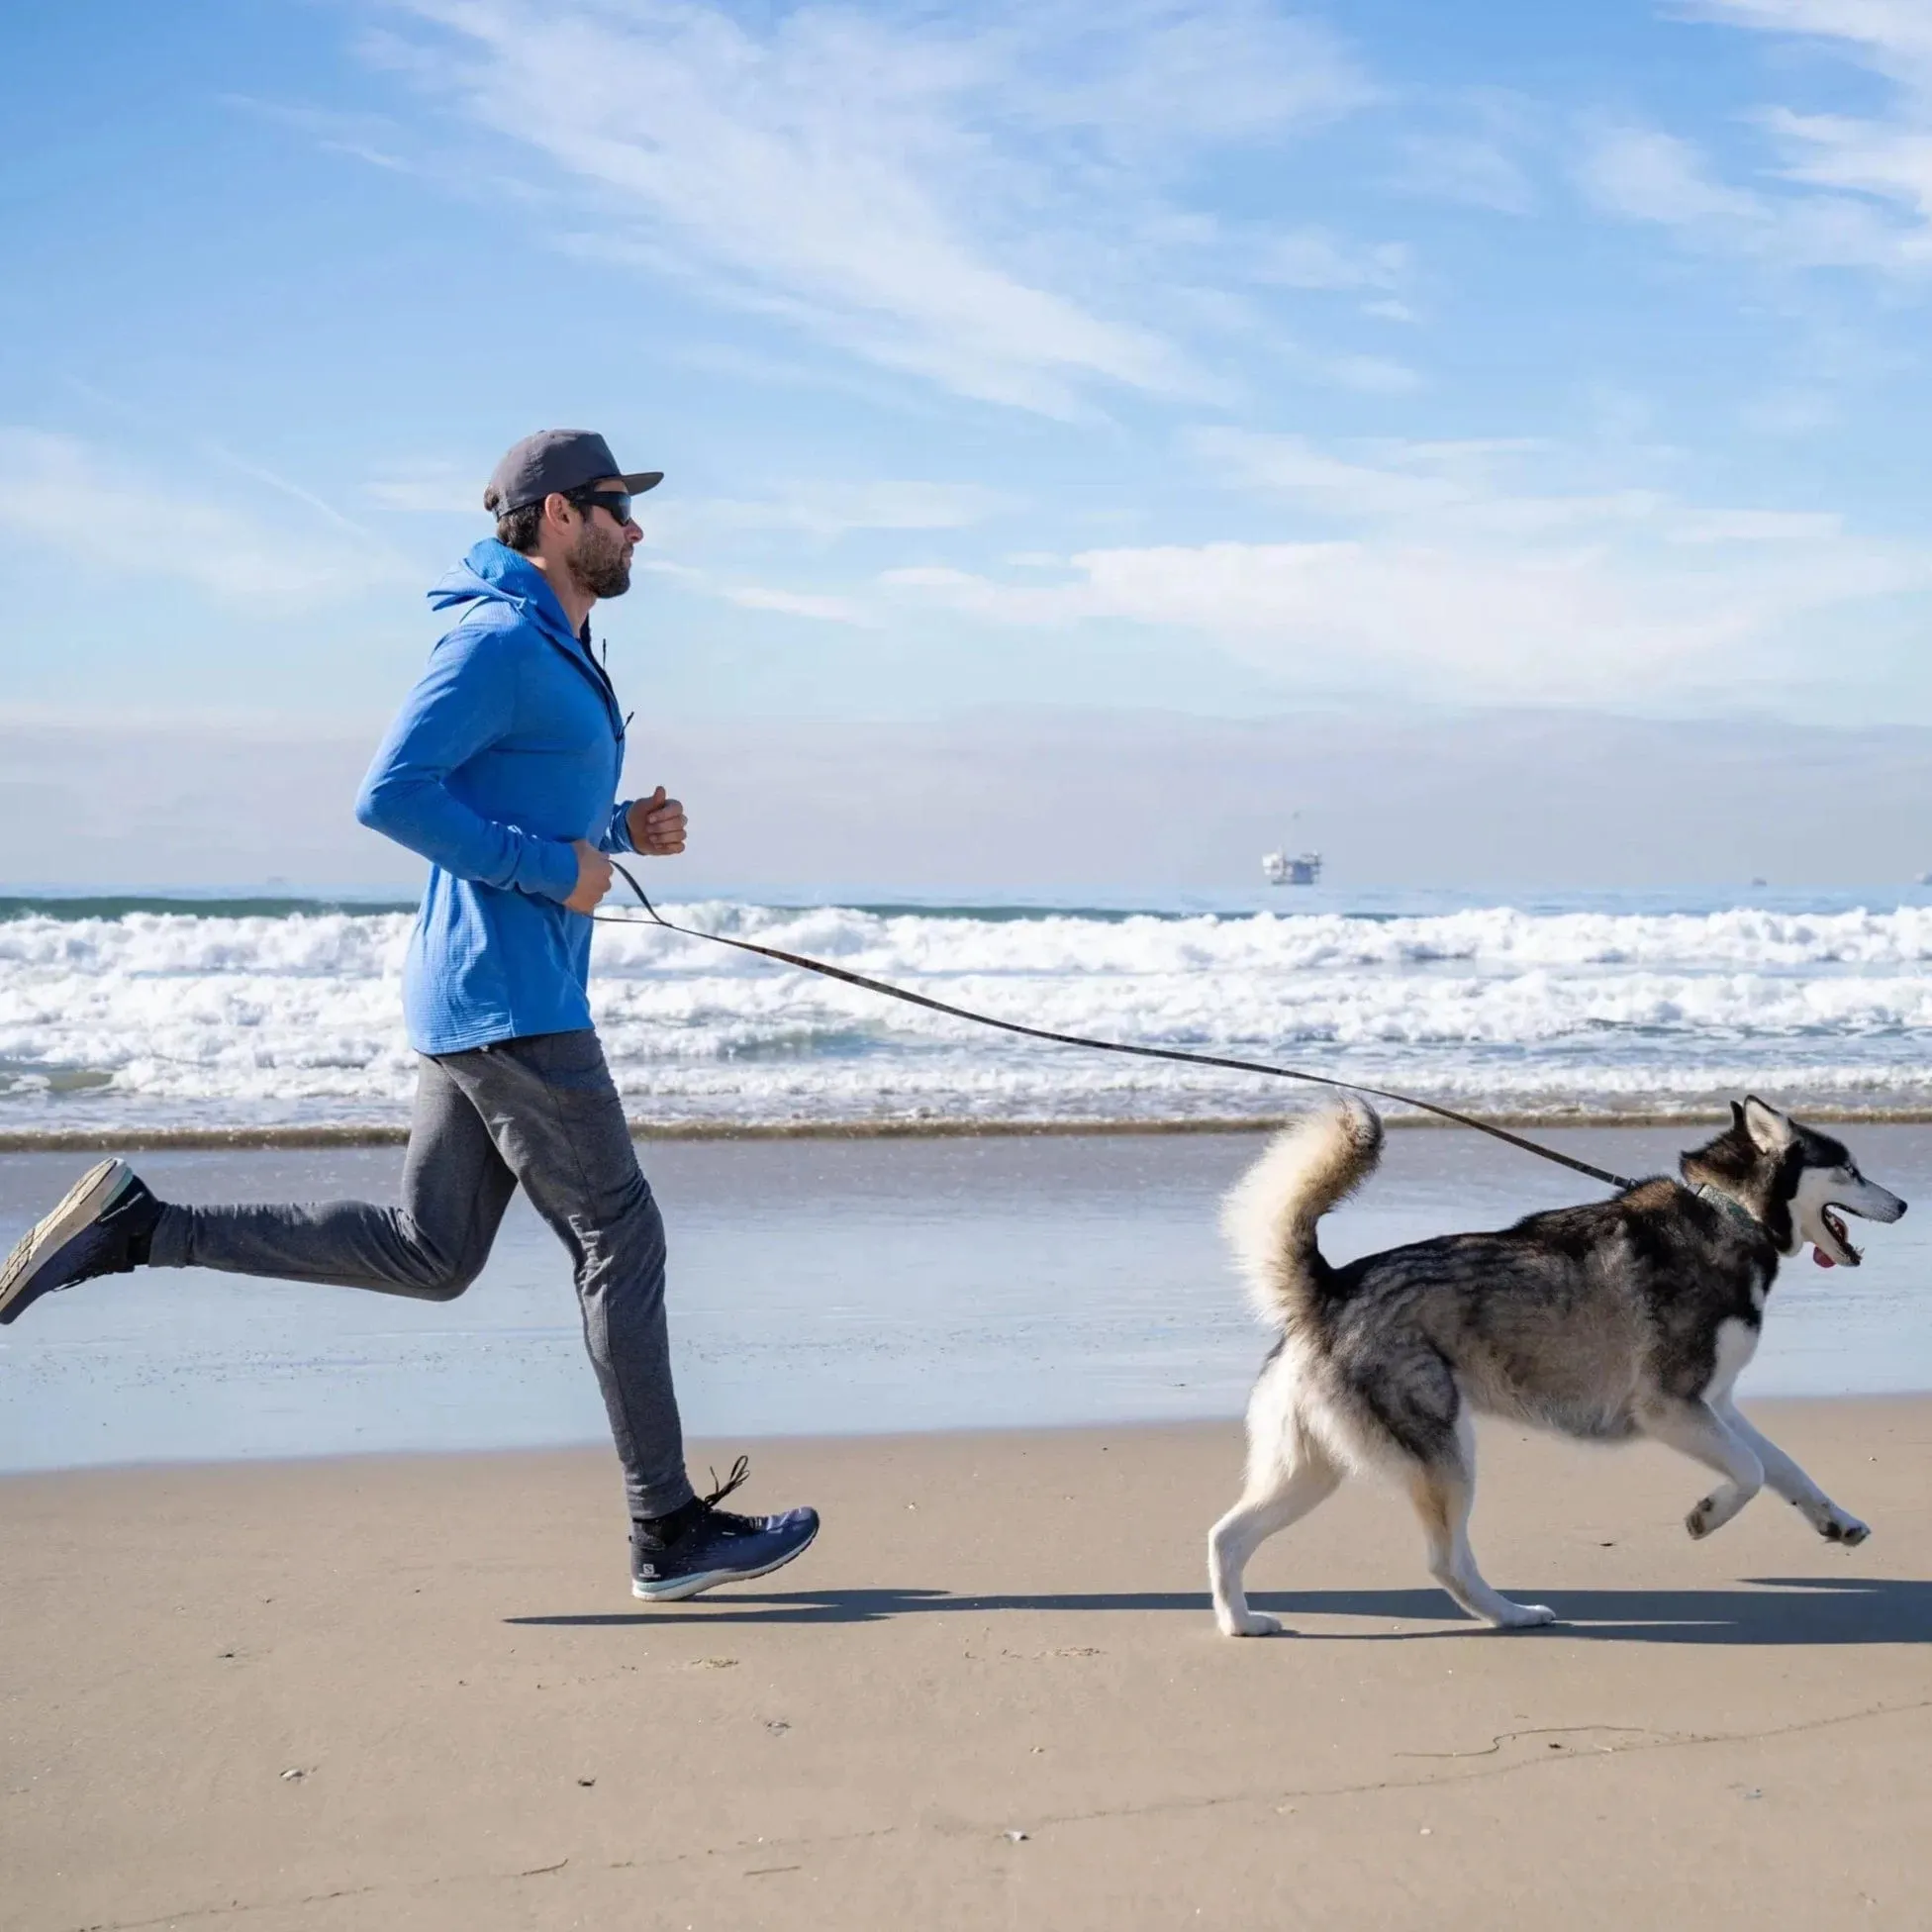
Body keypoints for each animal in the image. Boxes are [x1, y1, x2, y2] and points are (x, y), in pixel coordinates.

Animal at [1206, 1105, 1900, 1630]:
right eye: (1850, 1170)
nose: (1903, 1205)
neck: (1727, 1212)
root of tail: (1331, 1286)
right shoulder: (1670, 1409)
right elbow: (1752, 1472)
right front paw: (1706, 1515)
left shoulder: (1716, 1405)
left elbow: (1784, 1468)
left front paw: (1836, 1521)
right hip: (1444, 1456)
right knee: (1445, 1562)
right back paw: (1512, 1614)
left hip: (1310, 1470)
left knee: (1225, 1536)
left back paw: (1242, 1623)